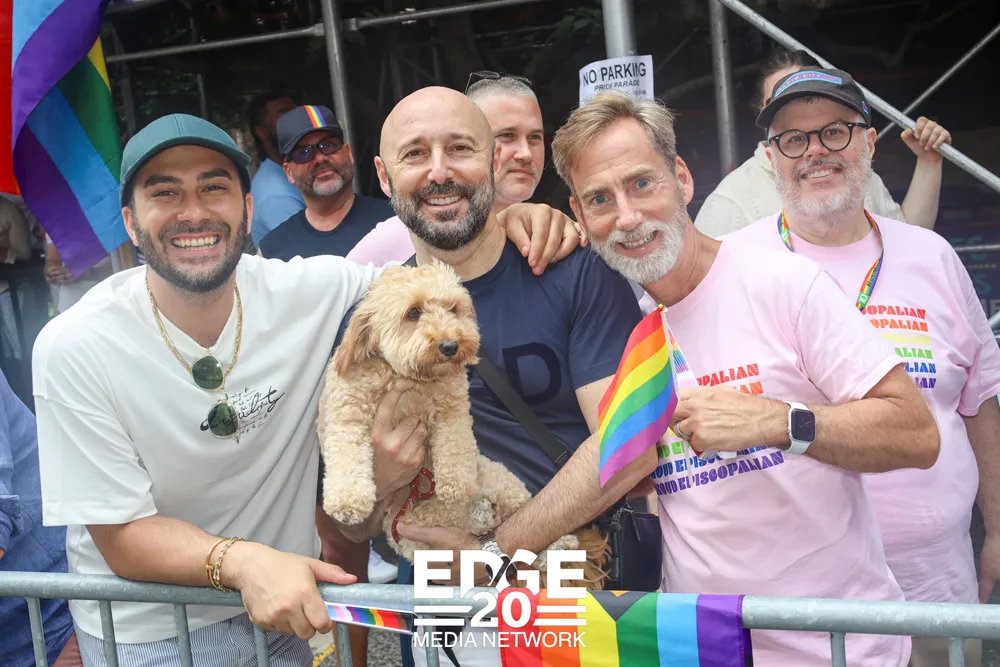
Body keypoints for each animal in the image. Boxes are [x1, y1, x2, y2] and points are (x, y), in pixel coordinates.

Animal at [317, 261, 608, 588]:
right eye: (413, 312)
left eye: (452, 308)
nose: (450, 345)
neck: (405, 378)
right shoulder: (346, 416)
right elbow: (347, 457)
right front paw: (347, 501)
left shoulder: (452, 407)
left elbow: (455, 448)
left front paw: (455, 484)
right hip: (405, 530)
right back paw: (481, 513)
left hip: (503, 481)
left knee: (524, 529)